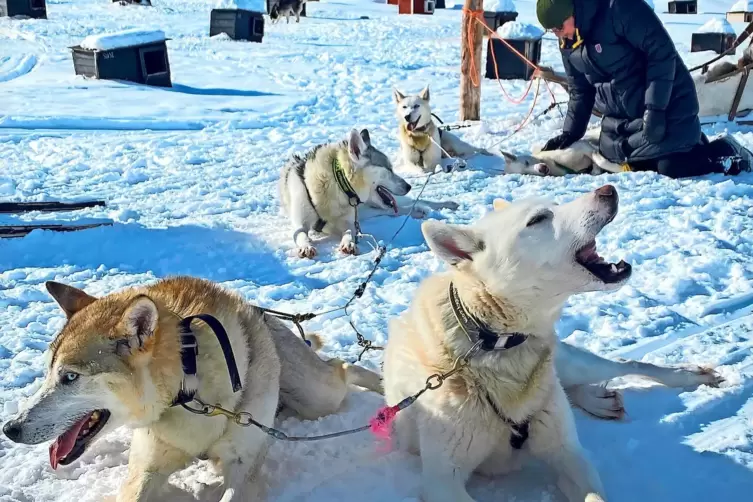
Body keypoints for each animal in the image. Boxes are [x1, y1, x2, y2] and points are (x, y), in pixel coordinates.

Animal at [2, 276, 382, 502]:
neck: (188, 393)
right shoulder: (146, 468)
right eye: (48, 372)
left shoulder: (243, 466)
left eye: (69, 377)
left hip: (317, 396)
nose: (10, 428)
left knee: (343, 368)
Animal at [280, 127, 458, 258]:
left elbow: (349, 232)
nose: (408, 186)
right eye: (388, 169)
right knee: (395, 210)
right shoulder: (300, 223)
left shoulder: (347, 222)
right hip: (369, 211)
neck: (336, 184)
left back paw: (443, 205)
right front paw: (306, 246)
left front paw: (348, 243)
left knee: (413, 203)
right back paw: (417, 211)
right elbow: (301, 234)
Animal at [384, 186, 720, 500]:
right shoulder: (443, 481)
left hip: (575, 365)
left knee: (622, 364)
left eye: (555, 205)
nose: (608, 189)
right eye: (538, 219)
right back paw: (599, 400)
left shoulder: (568, 454)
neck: (491, 341)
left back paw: (685, 376)